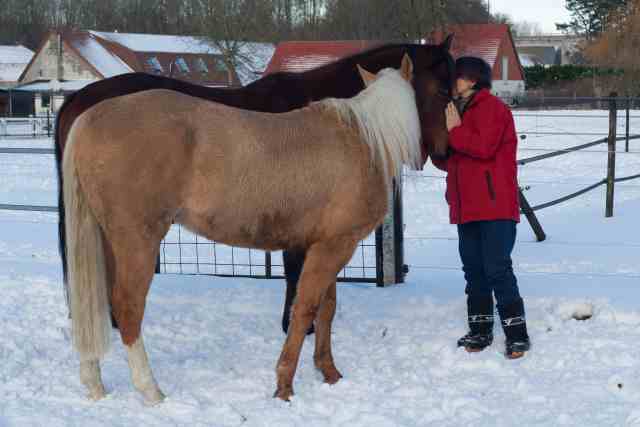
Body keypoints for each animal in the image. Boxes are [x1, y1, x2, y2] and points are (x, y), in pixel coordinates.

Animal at [65, 58, 440, 402]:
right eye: (438, 87)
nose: (440, 151)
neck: (363, 140)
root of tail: (89, 118)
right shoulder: (335, 246)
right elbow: (305, 309)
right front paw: (284, 385)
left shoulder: (323, 244)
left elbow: (327, 309)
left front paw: (329, 373)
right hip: (137, 240)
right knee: (127, 307)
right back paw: (150, 390)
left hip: (106, 239)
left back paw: (94, 383)